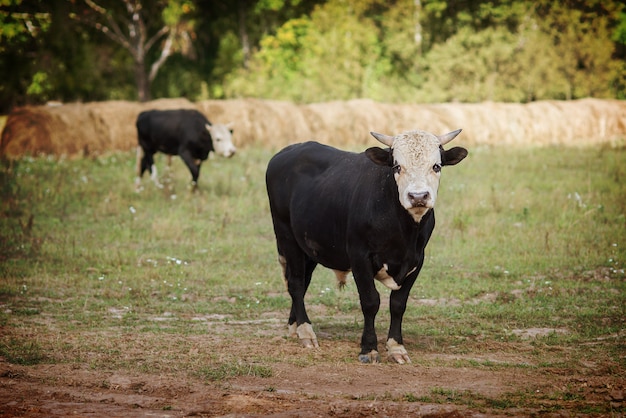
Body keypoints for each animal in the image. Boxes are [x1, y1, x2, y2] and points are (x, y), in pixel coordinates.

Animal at [264, 129, 464, 364]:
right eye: (397, 166)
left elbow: (398, 304)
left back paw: (294, 326)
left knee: (302, 282)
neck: (403, 232)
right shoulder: (360, 257)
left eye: (436, 166)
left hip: (309, 247)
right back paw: (305, 331)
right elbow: (370, 302)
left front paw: (396, 347)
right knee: (295, 283)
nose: (418, 197)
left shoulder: (417, 260)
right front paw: (369, 348)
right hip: (286, 235)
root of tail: (287, 152)